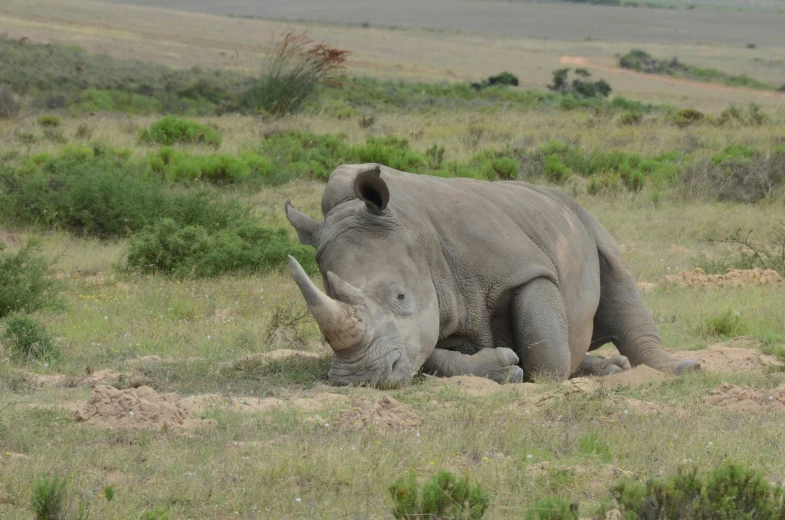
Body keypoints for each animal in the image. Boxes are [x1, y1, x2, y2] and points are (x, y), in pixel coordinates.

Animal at [284, 162, 700, 386]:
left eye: (400, 297)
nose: (360, 378)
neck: (416, 234)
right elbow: (430, 356)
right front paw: (504, 370)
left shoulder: (524, 268)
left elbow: (547, 355)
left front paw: (532, 374)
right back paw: (610, 369)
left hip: (585, 218)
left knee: (619, 277)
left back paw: (682, 369)